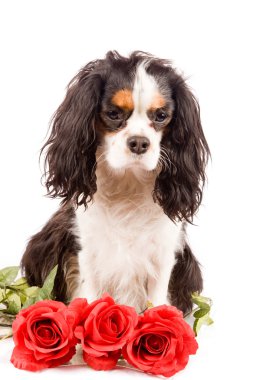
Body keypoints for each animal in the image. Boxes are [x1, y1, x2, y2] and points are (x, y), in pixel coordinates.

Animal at [21, 50, 210, 314]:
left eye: (161, 116)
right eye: (113, 114)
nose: (139, 142)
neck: (128, 182)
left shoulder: (164, 250)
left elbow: (158, 298)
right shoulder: (86, 248)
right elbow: (89, 293)